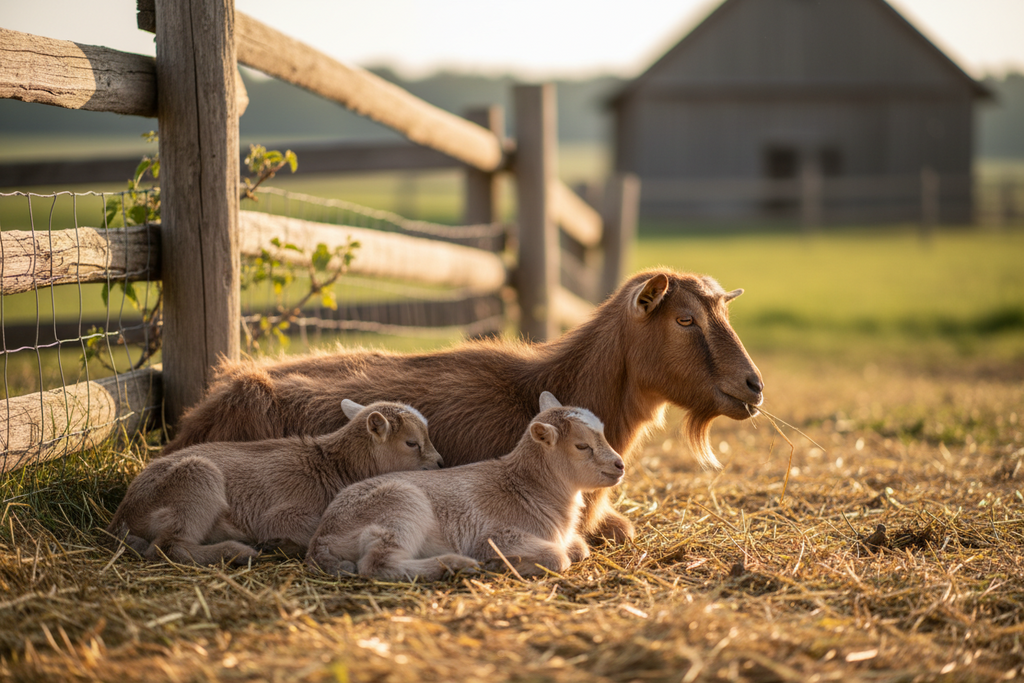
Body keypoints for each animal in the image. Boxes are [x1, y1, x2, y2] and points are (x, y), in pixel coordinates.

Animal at [107, 400, 441, 565]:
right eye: (412, 443)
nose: (439, 462)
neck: (333, 466)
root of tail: (122, 516)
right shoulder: (282, 515)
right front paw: (279, 543)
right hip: (196, 480)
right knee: (166, 547)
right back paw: (238, 552)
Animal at [307, 392, 624, 581]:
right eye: (582, 446)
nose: (620, 465)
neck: (527, 487)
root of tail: (322, 536)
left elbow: (580, 548)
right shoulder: (496, 535)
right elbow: (557, 557)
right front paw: (498, 564)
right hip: (401, 506)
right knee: (377, 565)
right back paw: (455, 564)